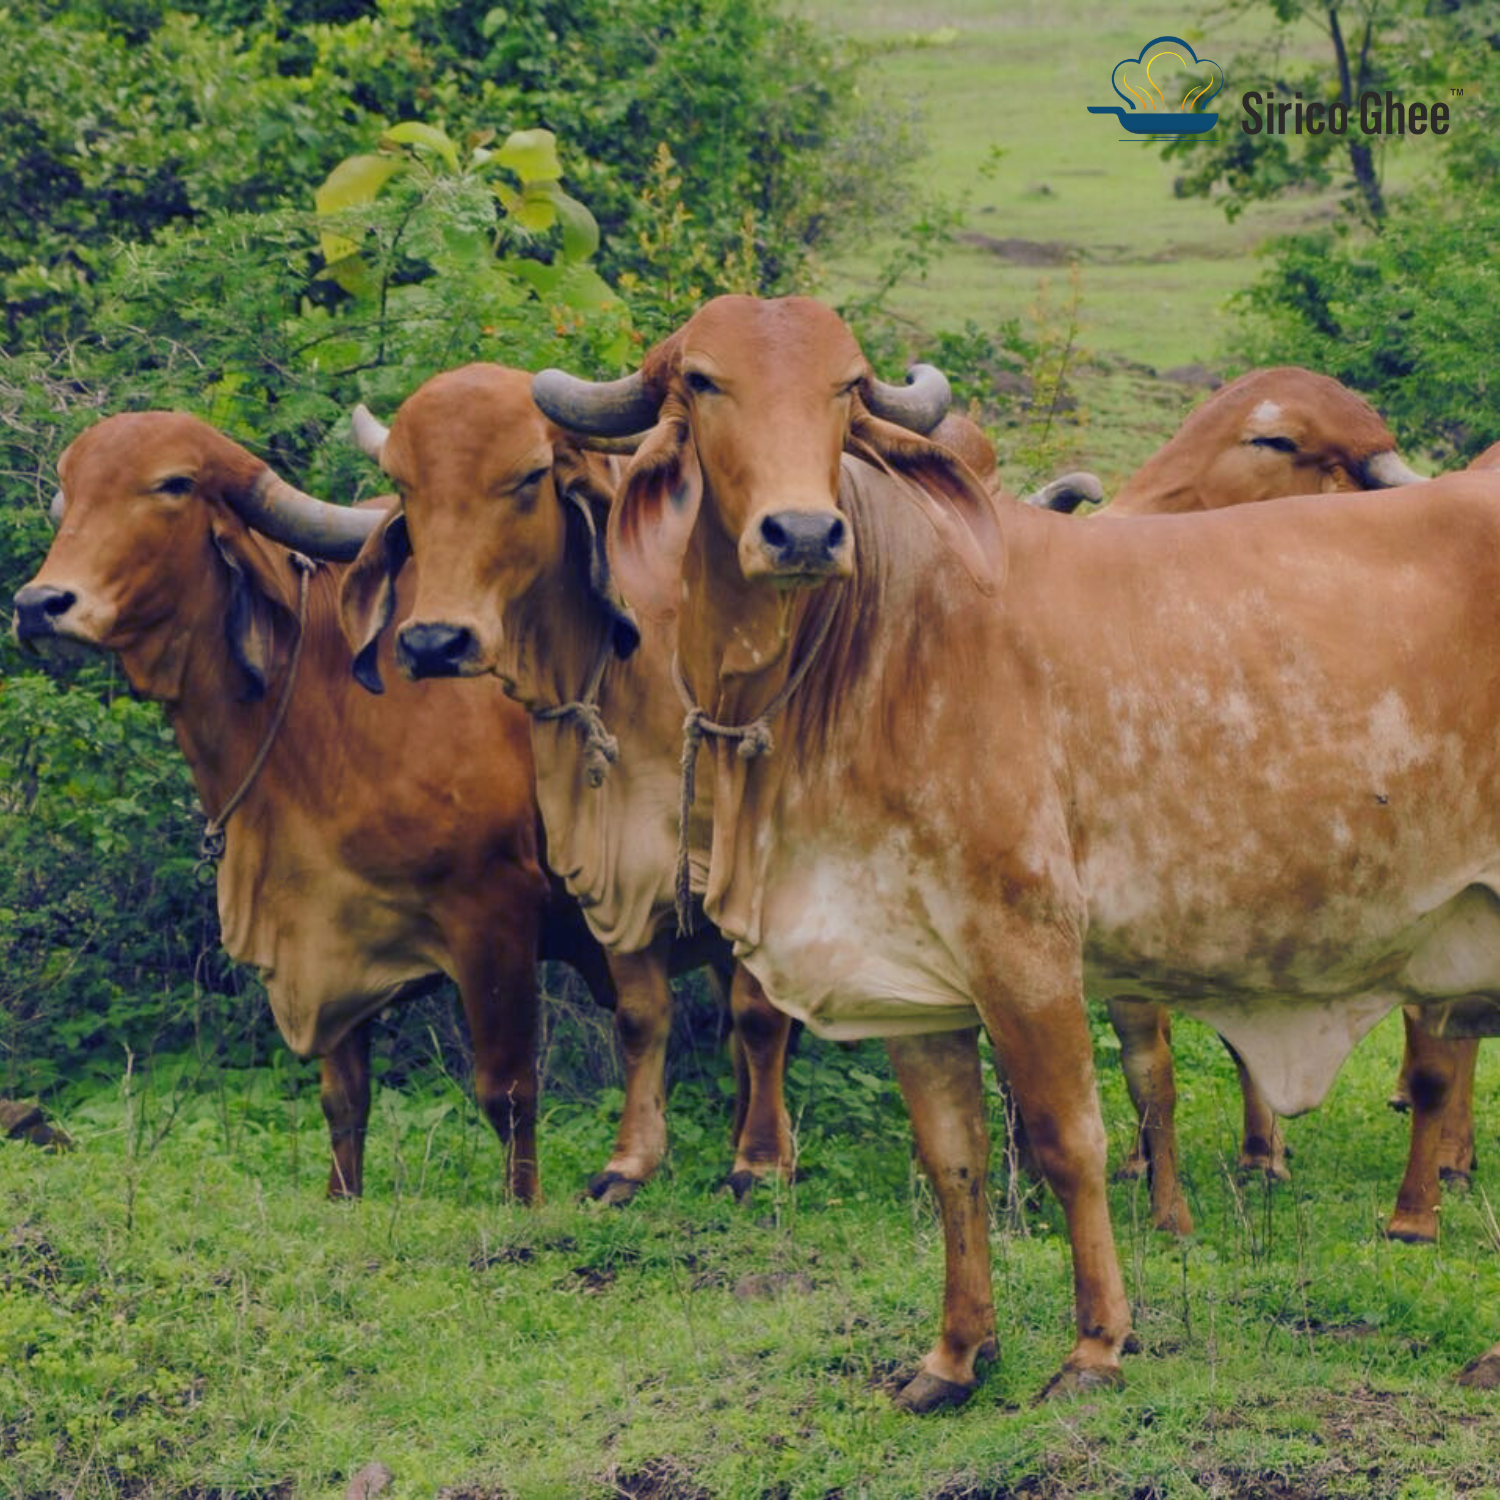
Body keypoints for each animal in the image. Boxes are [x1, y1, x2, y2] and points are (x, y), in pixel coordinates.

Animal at [11, 411, 617, 1203]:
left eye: (173, 484)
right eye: (72, 488)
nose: (38, 606)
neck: (333, 696)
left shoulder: (497, 911)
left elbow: (507, 1090)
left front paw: (524, 1206)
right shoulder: (327, 928)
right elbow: (343, 1098)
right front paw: (342, 1198)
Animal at [328, 363, 799, 1203]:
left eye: (525, 477)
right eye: (405, 487)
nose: (433, 642)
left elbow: (758, 1010)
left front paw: (759, 1162)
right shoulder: (618, 869)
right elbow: (642, 1015)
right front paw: (630, 1164)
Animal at [533, 294, 1500, 1405]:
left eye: (845, 388)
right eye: (701, 382)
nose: (803, 532)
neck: (865, 650)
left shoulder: (1027, 945)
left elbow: (1068, 1140)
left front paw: (1097, 1345)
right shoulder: (905, 976)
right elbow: (952, 1158)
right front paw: (955, 1358)